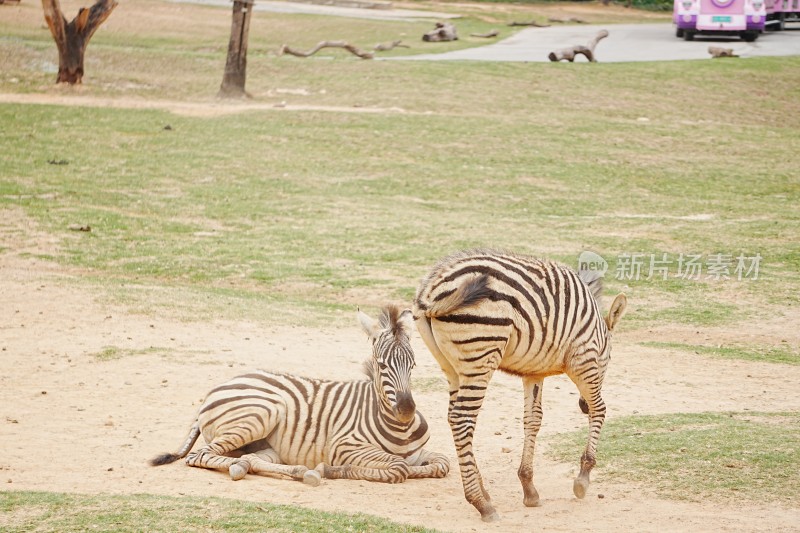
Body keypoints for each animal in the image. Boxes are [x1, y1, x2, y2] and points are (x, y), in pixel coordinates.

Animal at [150, 306, 450, 484]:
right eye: (380, 364)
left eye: (413, 364)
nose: (406, 411)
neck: (400, 429)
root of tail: (218, 387)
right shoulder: (345, 447)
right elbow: (398, 467)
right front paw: (331, 470)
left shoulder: (419, 453)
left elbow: (441, 464)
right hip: (260, 414)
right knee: (199, 455)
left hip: (264, 443)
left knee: (251, 459)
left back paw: (283, 469)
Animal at [412, 249, 624, 520]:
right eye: (610, 358)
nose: (581, 405)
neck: (596, 329)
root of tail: (431, 290)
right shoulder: (584, 359)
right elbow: (600, 409)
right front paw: (583, 478)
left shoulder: (533, 372)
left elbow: (533, 419)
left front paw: (529, 487)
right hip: (481, 355)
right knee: (462, 419)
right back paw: (481, 502)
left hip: (450, 365)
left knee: (453, 416)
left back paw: (482, 490)